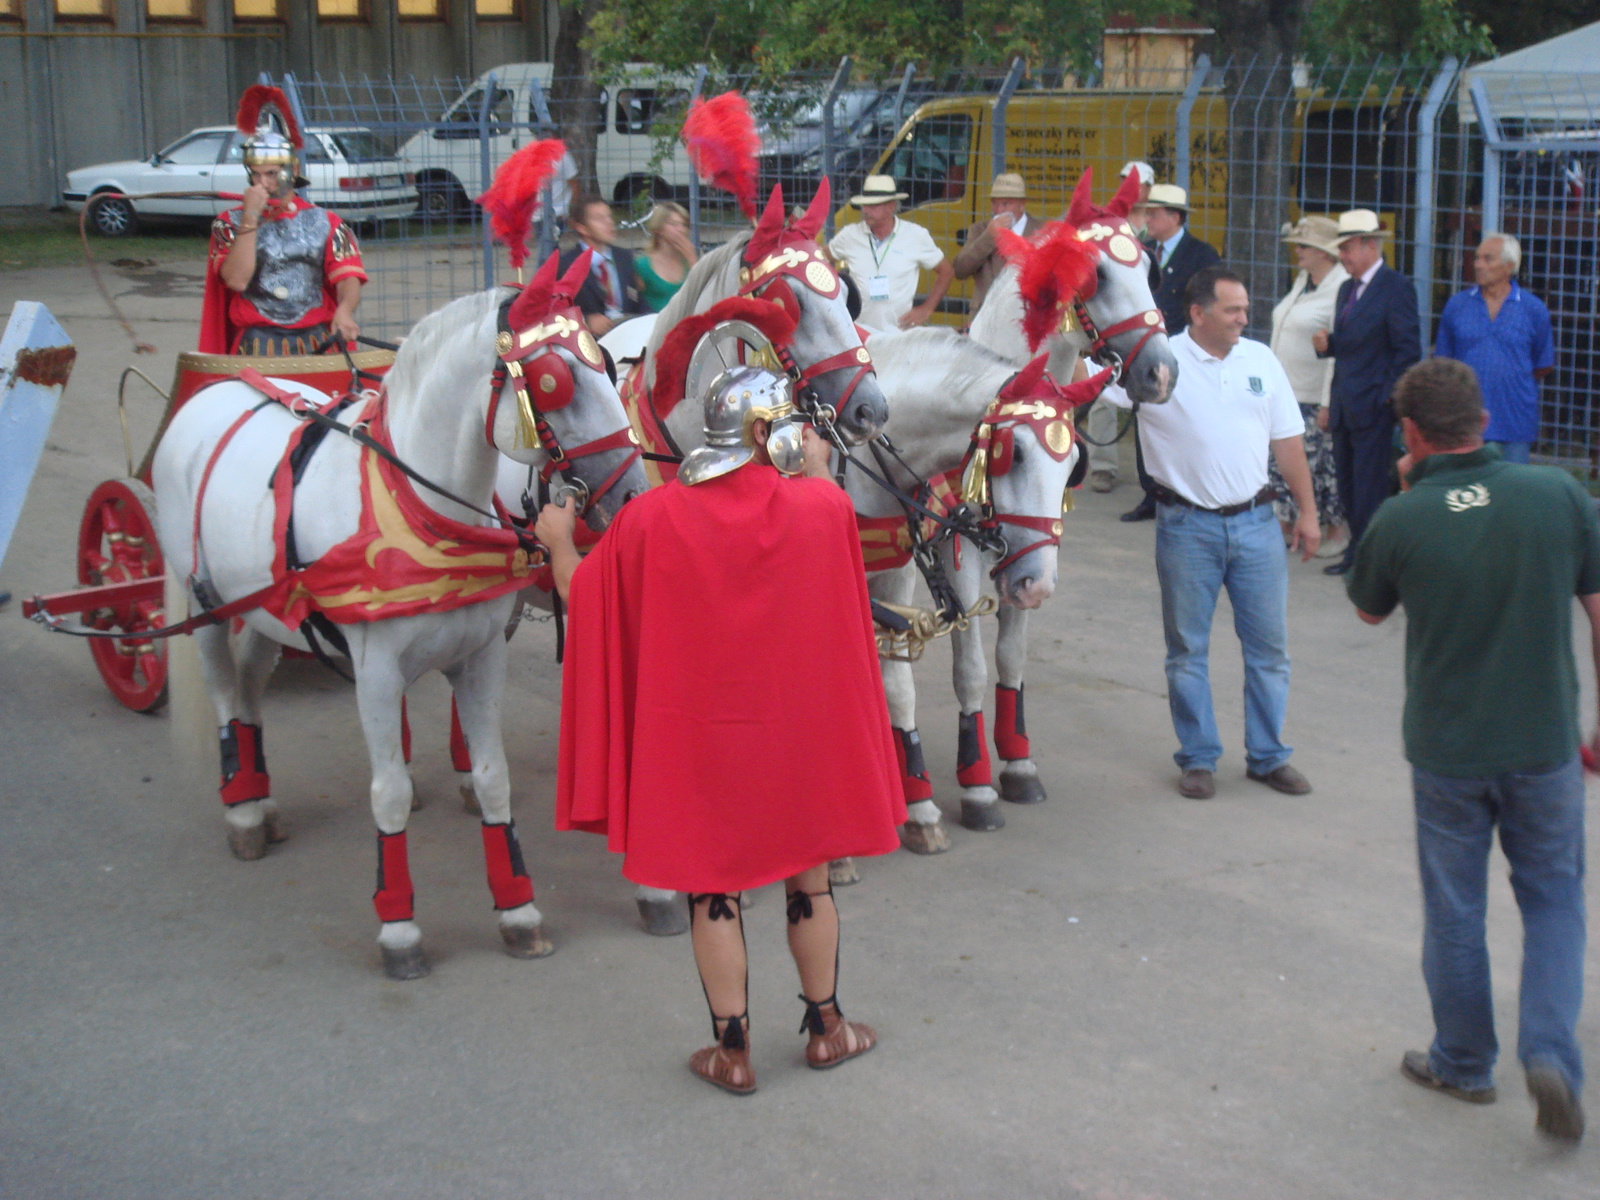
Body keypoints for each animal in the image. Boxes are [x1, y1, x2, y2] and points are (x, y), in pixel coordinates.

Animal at [150, 259, 649, 979]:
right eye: (554, 380)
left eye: (606, 363)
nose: (635, 495)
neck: (417, 505)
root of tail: (208, 397)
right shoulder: (378, 675)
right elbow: (387, 793)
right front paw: (399, 927)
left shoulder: (480, 659)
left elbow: (493, 780)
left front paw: (517, 908)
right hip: (208, 604)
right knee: (222, 692)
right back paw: (241, 808)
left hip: (272, 608)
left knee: (249, 686)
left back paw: (261, 797)